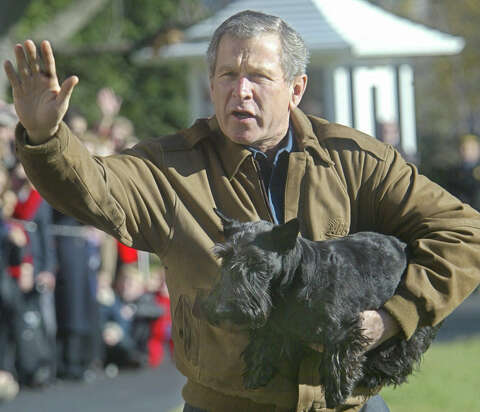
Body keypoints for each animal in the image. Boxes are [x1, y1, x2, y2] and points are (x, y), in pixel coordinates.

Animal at [201, 209, 440, 408]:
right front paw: (255, 374)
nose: (222, 309)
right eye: (223, 256)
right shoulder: (273, 324)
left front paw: (337, 394)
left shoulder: (346, 328)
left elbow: (337, 359)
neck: (292, 283)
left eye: (257, 262)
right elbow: (262, 345)